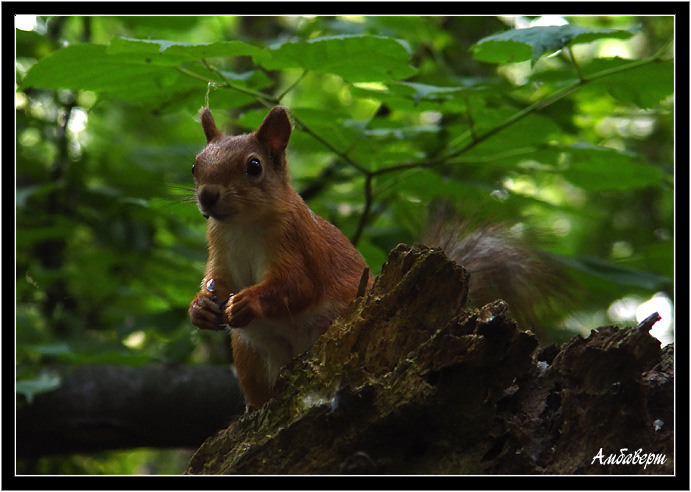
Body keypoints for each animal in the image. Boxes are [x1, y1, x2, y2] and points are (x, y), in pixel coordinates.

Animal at [188, 105, 568, 411]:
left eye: (254, 166)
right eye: (195, 165)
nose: (207, 196)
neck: (243, 226)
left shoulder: (299, 243)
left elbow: (299, 285)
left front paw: (247, 301)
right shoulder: (219, 251)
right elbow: (217, 281)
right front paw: (200, 307)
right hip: (249, 356)